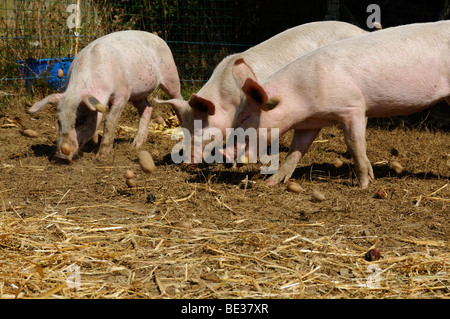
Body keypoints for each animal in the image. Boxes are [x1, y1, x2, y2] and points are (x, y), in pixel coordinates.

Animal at [28, 30, 183, 162]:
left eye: (80, 121)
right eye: (59, 121)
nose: (60, 157)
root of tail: (158, 38)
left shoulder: (122, 94)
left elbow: (109, 121)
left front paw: (100, 156)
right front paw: (94, 142)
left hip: (170, 74)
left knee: (178, 99)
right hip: (138, 93)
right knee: (147, 108)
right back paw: (136, 145)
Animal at [229, 21, 450, 189]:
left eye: (244, 117)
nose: (225, 154)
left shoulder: (353, 107)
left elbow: (355, 143)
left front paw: (364, 185)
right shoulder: (310, 123)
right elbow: (297, 148)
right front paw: (272, 182)